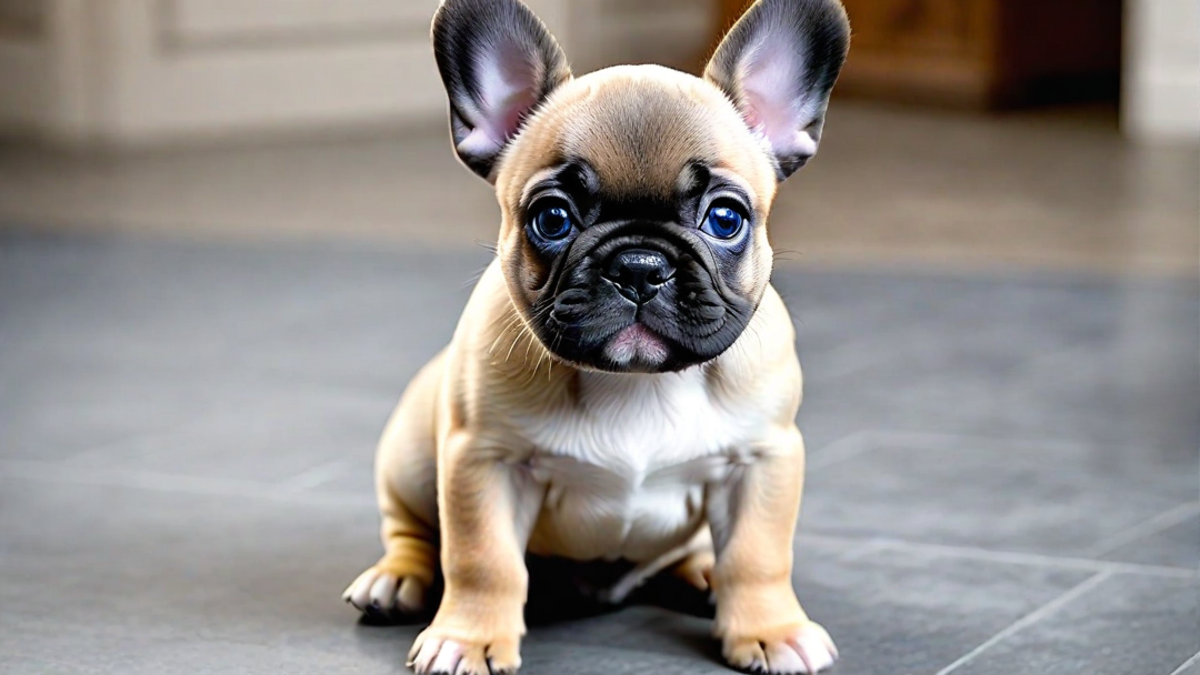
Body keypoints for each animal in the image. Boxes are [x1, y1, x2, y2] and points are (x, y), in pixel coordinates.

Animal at [345, 1, 854, 667]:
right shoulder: (484, 461)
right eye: (552, 219)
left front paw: (770, 629)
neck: (636, 383)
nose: (638, 266)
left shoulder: (761, 460)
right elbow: (483, 559)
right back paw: (396, 578)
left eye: (725, 218)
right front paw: (468, 638)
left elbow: (757, 555)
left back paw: (701, 571)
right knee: (413, 531)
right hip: (408, 456)